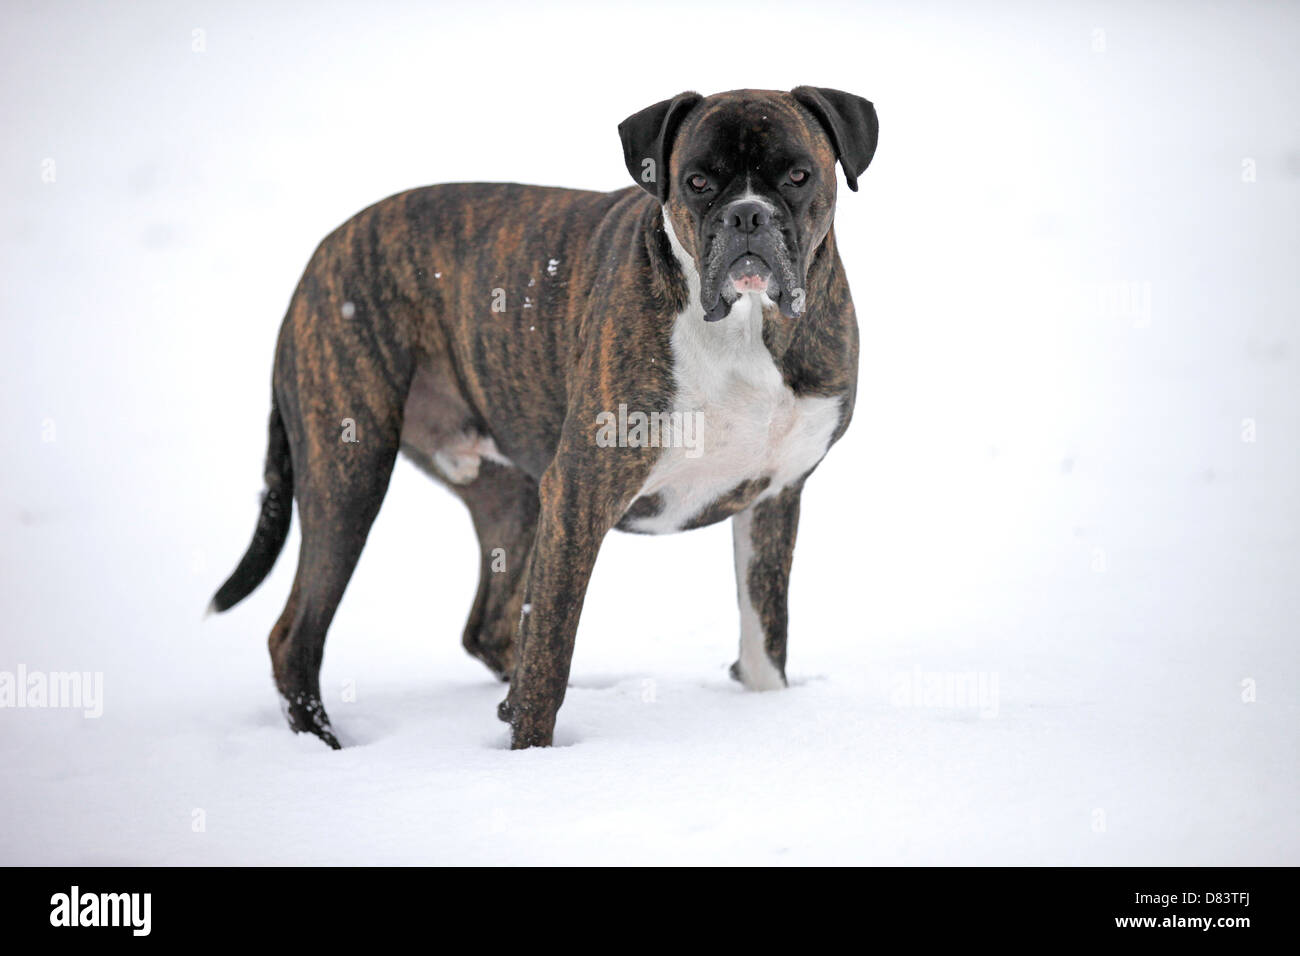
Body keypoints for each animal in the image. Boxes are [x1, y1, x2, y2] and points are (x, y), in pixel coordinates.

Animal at [213, 87, 878, 749]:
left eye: (798, 175)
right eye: (696, 182)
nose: (747, 216)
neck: (744, 328)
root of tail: (324, 251)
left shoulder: (774, 497)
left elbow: (765, 631)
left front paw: (767, 715)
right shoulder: (580, 495)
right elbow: (549, 650)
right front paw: (531, 753)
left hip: (509, 497)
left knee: (487, 626)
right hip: (349, 475)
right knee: (296, 634)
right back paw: (323, 744)